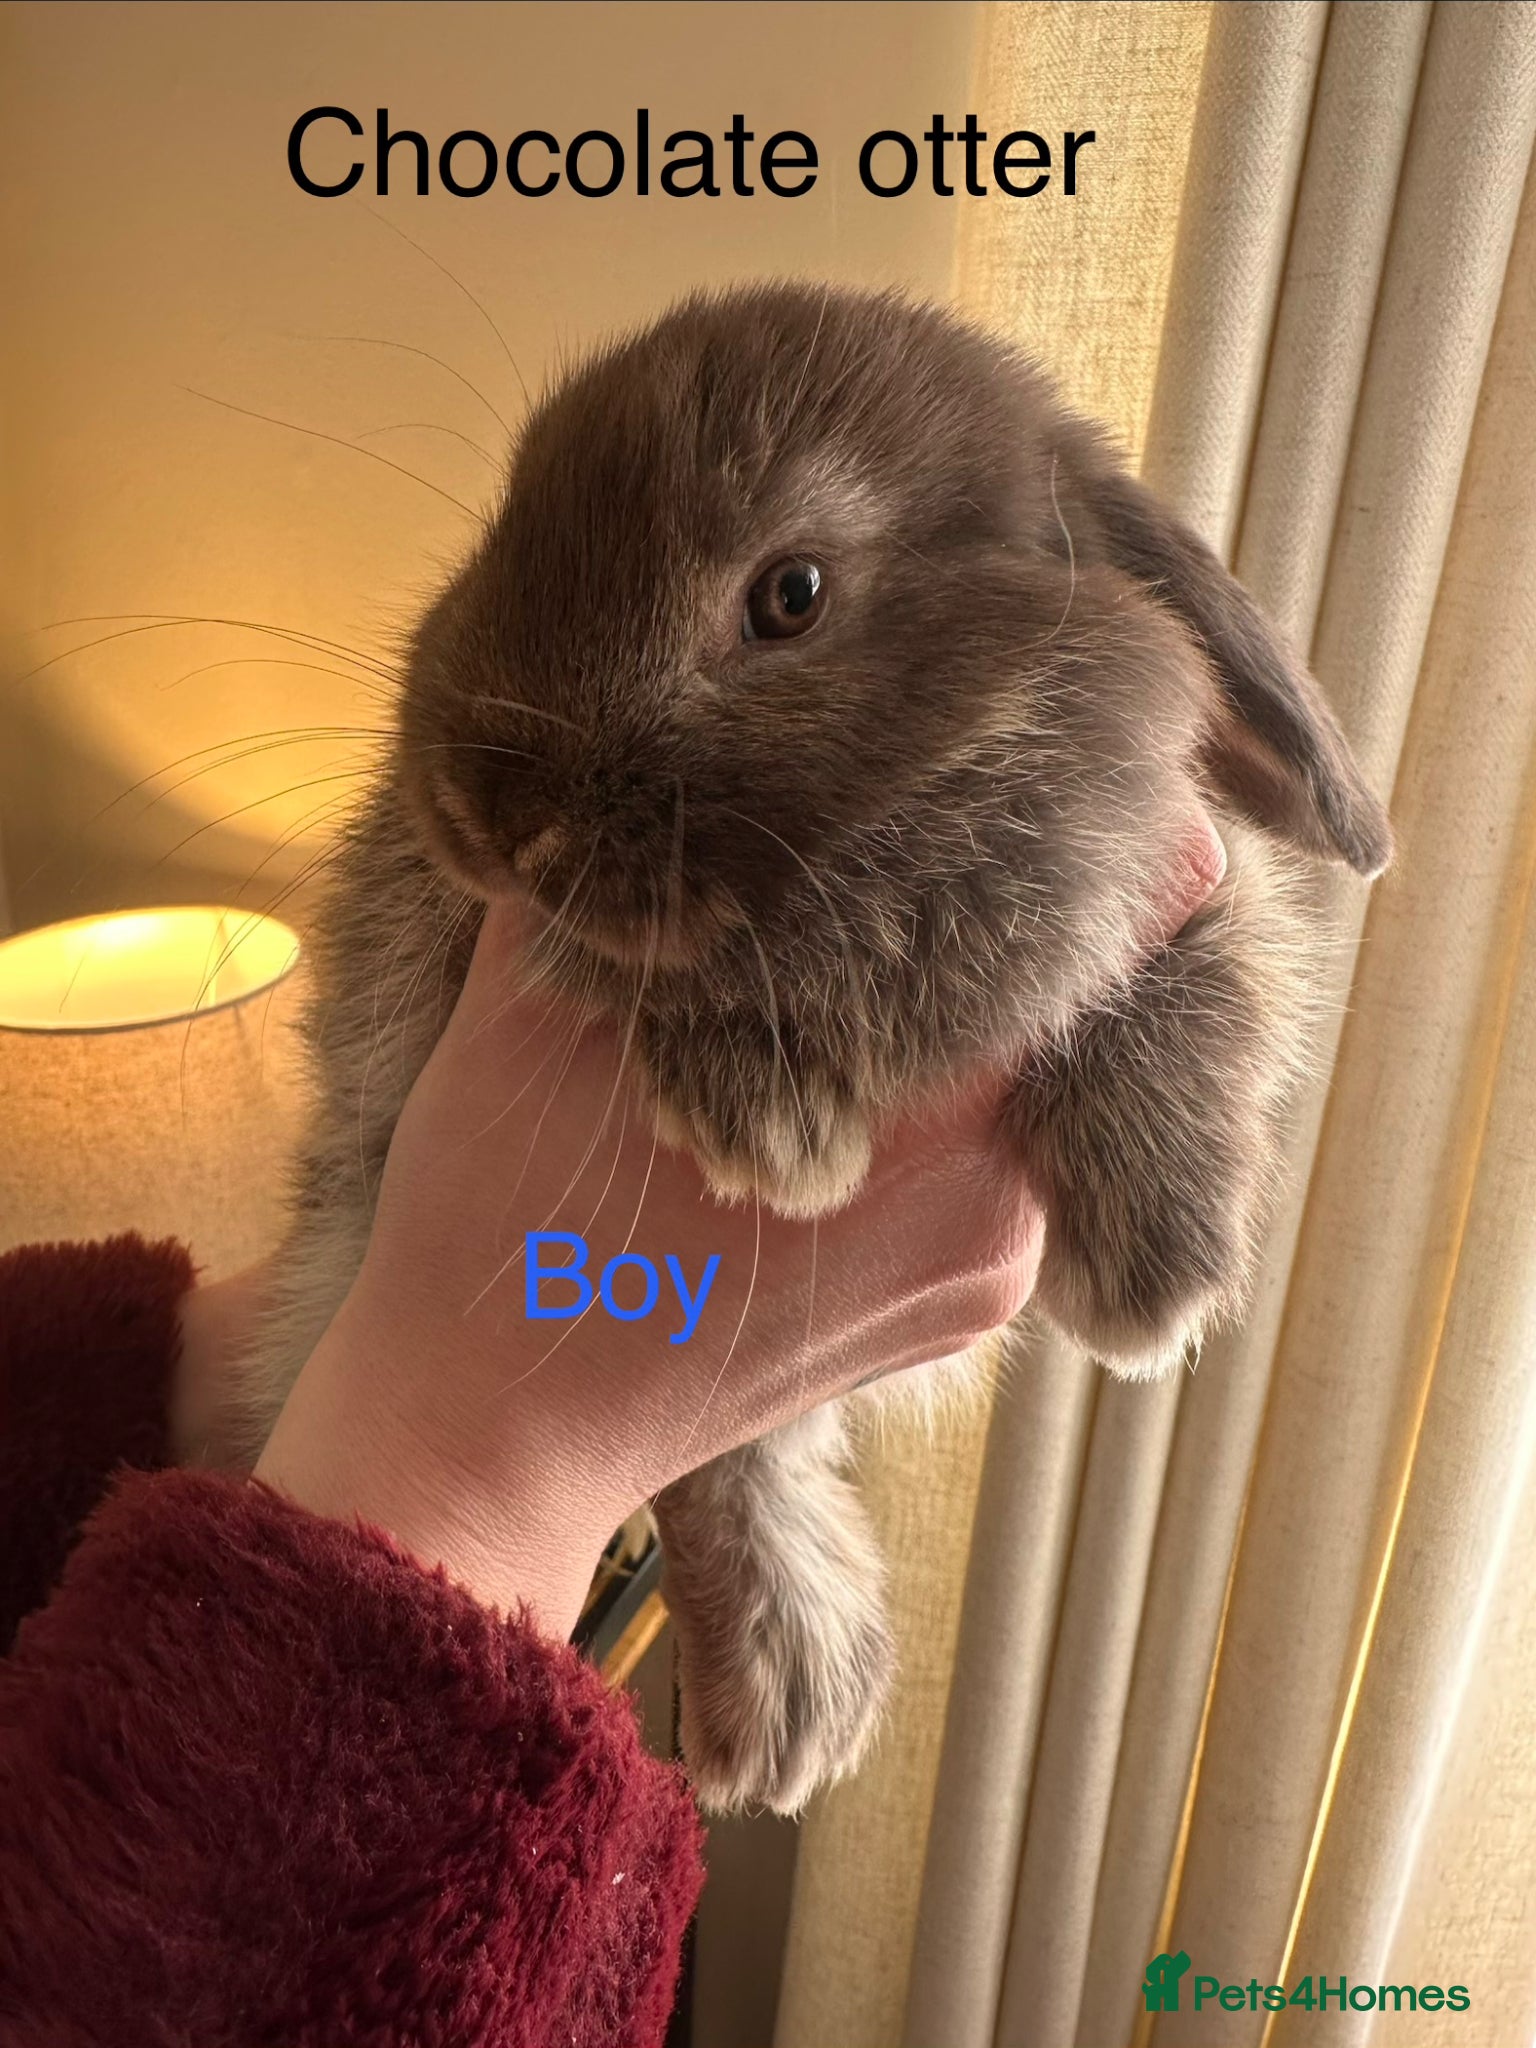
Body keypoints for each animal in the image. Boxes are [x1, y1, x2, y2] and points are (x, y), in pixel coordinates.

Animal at [239, 282, 1391, 1816]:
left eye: (791, 594)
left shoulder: (1183, 875)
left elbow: (1188, 983)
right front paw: (772, 1122)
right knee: (721, 1464)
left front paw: (1157, 1272)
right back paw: (784, 1699)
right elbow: (637, 964)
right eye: (505, 525)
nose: (489, 813)